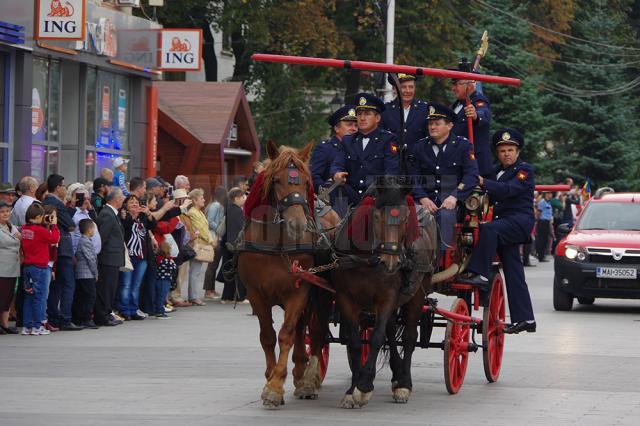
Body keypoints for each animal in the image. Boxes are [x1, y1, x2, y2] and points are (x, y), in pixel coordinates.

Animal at [238, 139, 322, 406]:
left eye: (306, 182)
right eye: (276, 180)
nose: (298, 224)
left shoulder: (300, 291)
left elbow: (286, 334)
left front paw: (276, 385)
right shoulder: (255, 293)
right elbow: (267, 336)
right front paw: (270, 377)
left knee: (309, 330)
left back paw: (305, 376)